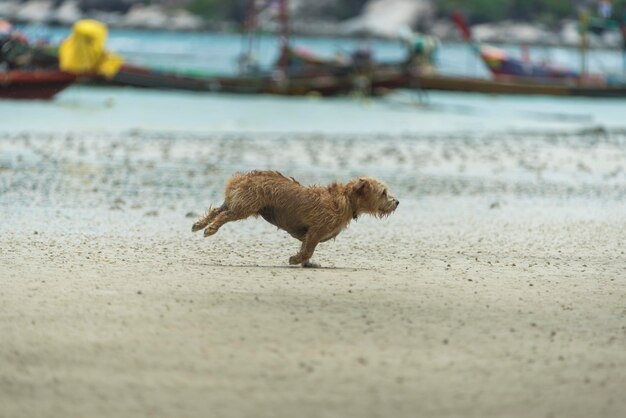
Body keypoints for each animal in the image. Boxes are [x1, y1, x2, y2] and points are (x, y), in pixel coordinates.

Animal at [189, 171, 400, 266]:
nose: (397, 202)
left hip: (236, 202)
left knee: (217, 210)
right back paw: (210, 229)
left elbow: (307, 248)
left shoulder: (309, 234)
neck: (347, 200)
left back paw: (199, 224)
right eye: (383, 192)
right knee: (224, 215)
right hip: (245, 207)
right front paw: (297, 259)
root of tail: (243, 177)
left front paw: (307, 263)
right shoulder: (316, 230)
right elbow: (308, 249)